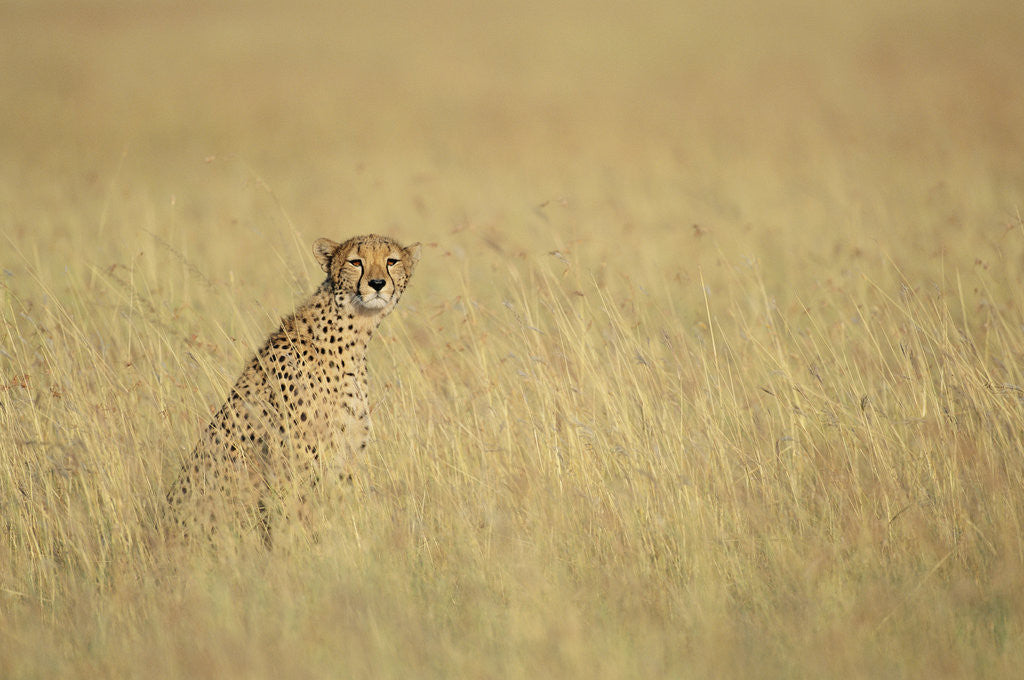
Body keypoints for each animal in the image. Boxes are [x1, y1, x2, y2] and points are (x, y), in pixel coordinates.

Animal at [166, 233, 421, 546]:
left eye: (391, 261)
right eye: (355, 262)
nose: (377, 283)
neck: (354, 334)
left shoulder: (347, 458)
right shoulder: (298, 463)